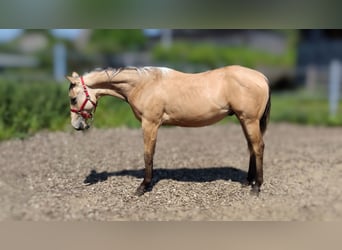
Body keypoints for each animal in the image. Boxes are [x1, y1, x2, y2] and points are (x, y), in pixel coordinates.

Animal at [66, 65, 270, 196]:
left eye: (73, 99)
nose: (76, 126)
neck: (143, 84)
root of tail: (262, 77)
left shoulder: (150, 123)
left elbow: (148, 155)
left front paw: (142, 187)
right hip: (245, 120)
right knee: (251, 148)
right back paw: (248, 182)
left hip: (249, 120)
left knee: (258, 147)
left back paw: (256, 187)